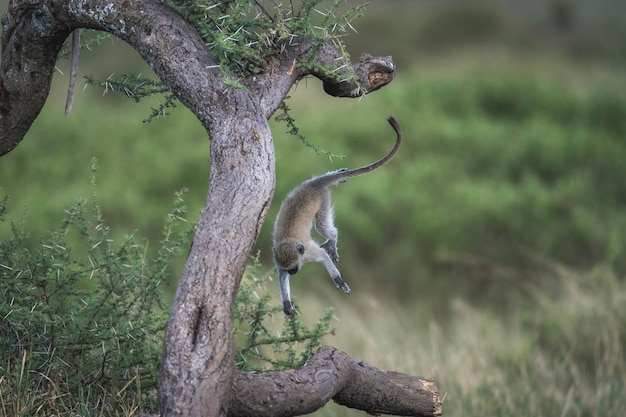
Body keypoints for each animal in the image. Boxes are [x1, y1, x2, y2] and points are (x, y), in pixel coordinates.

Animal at [272, 115, 400, 314]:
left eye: (293, 267)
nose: (292, 272)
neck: (290, 243)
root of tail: (313, 185)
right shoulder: (280, 260)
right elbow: (280, 276)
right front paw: (286, 304)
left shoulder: (309, 252)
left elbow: (323, 257)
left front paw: (339, 281)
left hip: (323, 199)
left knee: (323, 226)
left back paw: (332, 239)